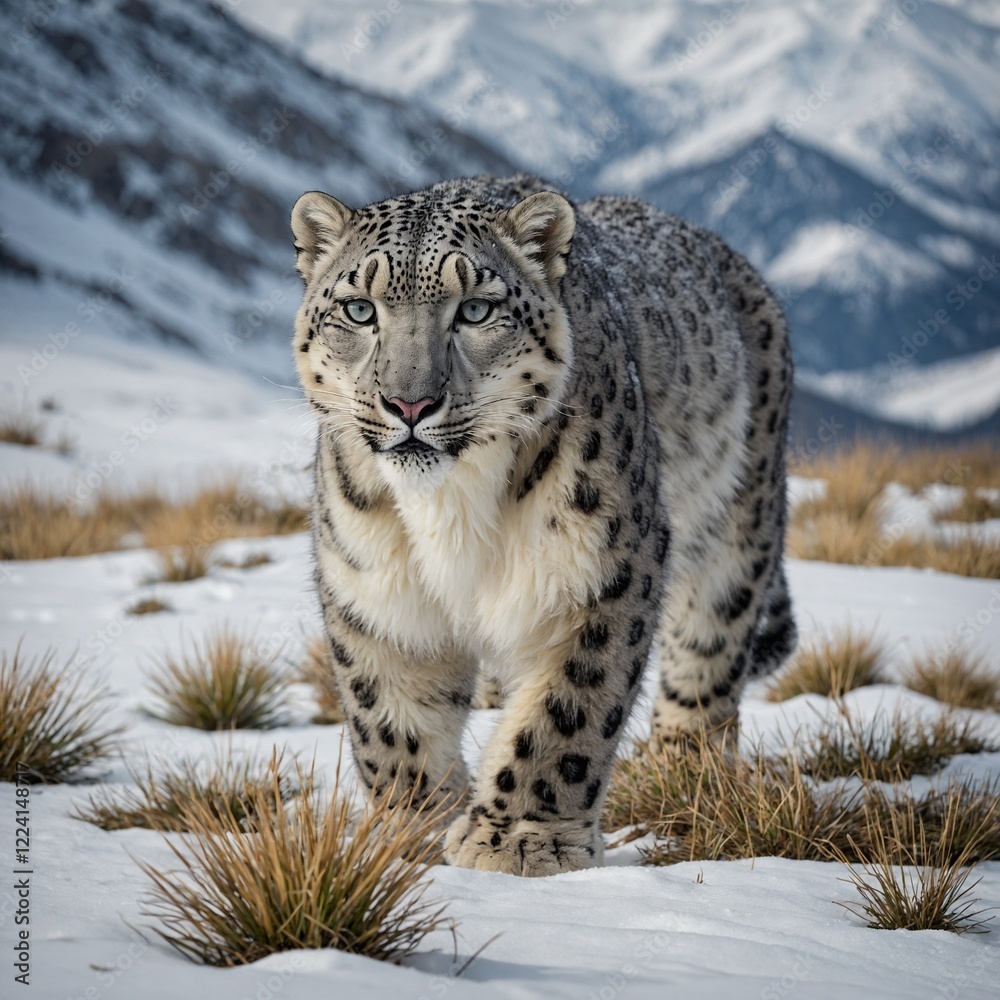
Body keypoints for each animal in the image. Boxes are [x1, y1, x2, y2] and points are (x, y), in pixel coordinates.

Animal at [291, 173, 796, 877]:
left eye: (476, 309)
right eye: (360, 310)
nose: (410, 403)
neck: (449, 507)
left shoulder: (600, 570)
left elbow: (565, 712)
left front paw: (519, 840)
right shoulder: (374, 591)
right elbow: (389, 725)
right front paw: (410, 837)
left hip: (739, 523)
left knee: (710, 645)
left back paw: (683, 770)